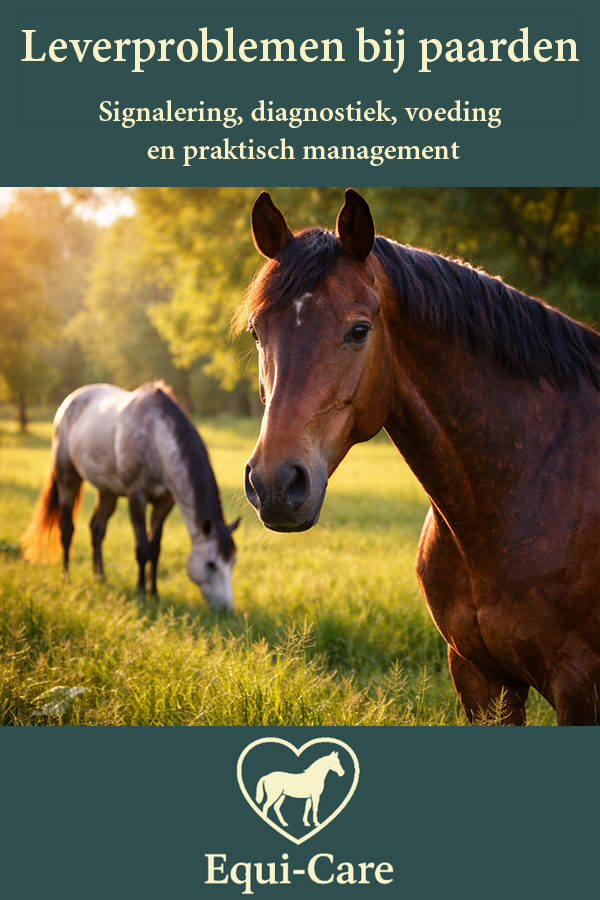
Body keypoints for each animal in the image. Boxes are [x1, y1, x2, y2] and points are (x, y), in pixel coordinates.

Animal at [21, 381, 240, 611]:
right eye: (211, 564)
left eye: (232, 562)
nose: (227, 609)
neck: (155, 435)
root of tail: (70, 400)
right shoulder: (137, 497)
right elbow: (142, 548)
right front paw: (141, 591)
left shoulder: (164, 502)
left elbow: (155, 549)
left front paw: (154, 592)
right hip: (68, 479)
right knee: (66, 529)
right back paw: (66, 578)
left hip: (107, 491)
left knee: (97, 529)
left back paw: (100, 577)